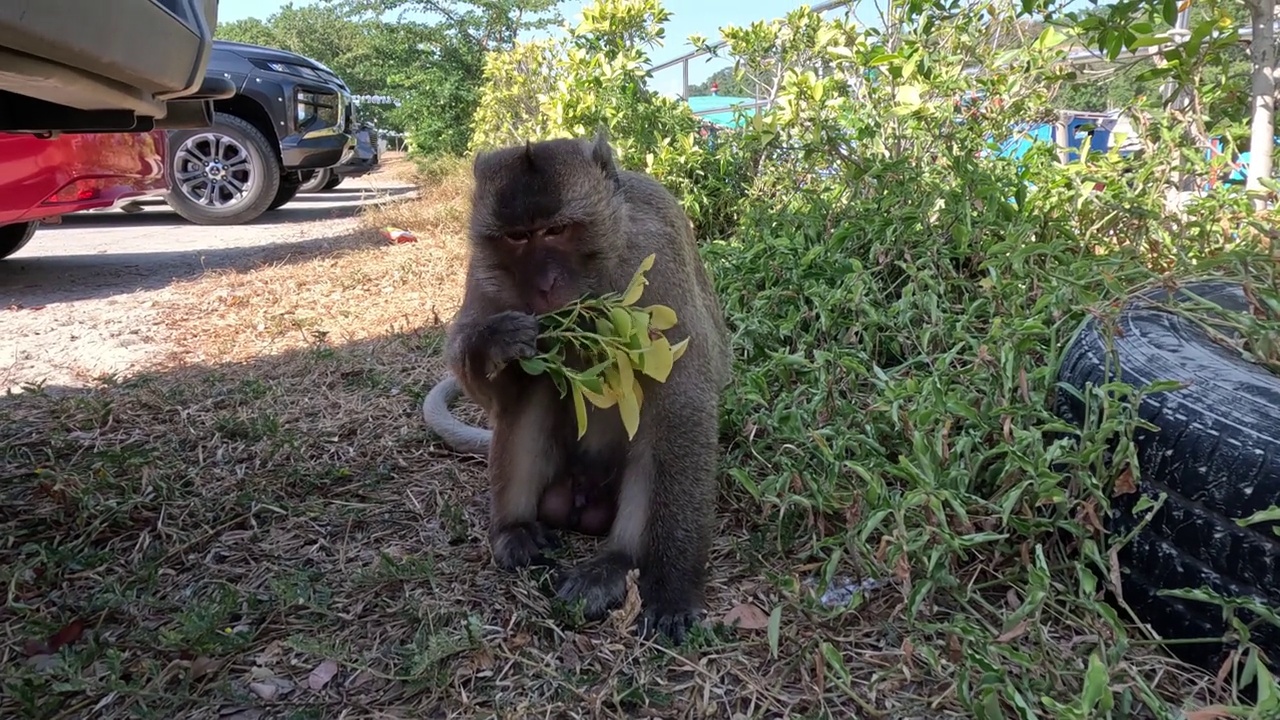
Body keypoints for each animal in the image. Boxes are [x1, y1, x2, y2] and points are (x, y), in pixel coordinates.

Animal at [422, 130, 732, 638]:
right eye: (517, 237)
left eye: (556, 231)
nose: (545, 284)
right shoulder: (486, 271)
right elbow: (495, 394)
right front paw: (494, 341)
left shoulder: (656, 253)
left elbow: (681, 401)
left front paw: (673, 587)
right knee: (532, 392)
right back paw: (514, 531)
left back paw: (615, 563)